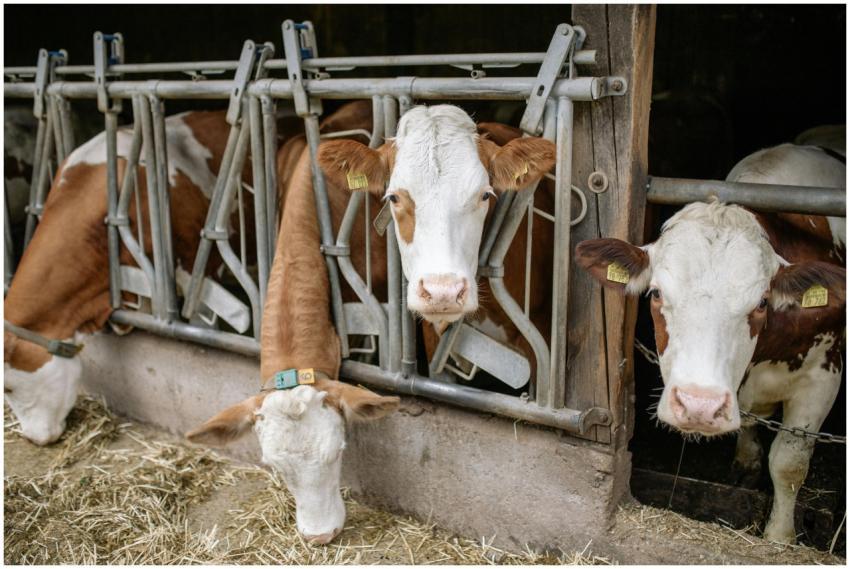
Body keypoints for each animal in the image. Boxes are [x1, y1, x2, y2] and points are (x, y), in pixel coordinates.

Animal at [575, 142, 845, 543]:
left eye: (762, 302)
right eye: (656, 293)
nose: (698, 406)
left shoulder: (823, 375)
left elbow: (789, 462)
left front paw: (779, 538)